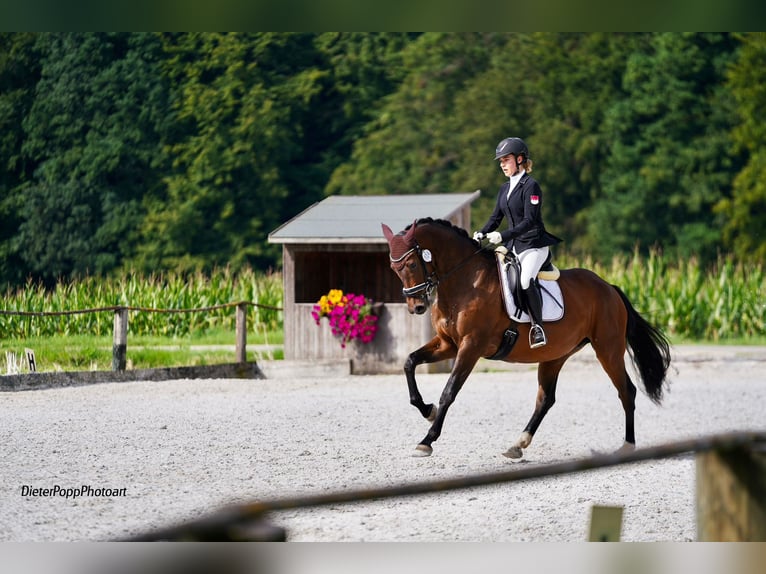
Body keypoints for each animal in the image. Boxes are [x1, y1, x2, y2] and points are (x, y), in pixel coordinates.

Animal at [384, 218, 672, 462]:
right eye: (393, 268)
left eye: (411, 264)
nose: (417, 307)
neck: (464, 282)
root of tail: (609, 288)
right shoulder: (448, 344)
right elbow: (409, 362)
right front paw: (426, 410)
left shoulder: (471, 347)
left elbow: (449, 391)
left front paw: (427, 440)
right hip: (556, 355)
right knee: (546, 399)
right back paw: (517, 445)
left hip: (608, 350)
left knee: (626, 391)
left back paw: (627, 446)